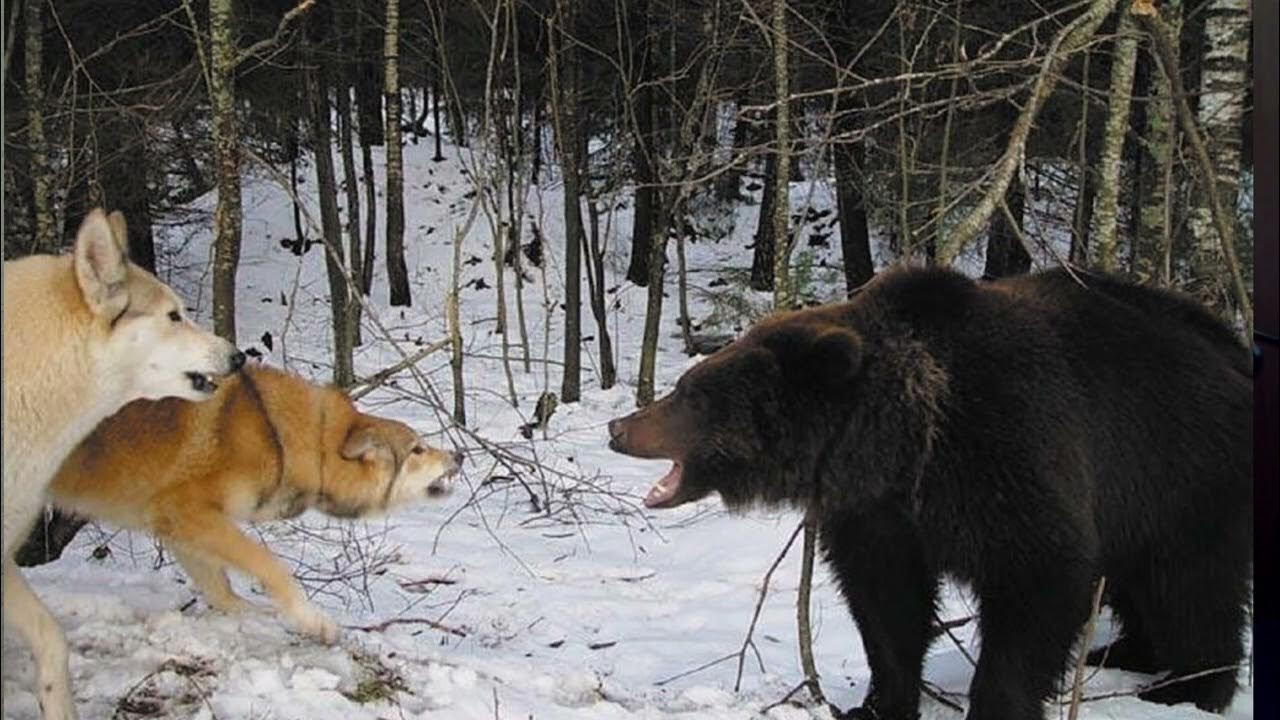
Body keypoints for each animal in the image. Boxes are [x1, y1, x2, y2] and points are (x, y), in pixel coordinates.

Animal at [609, 266, 1249, 712]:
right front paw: (878, 703)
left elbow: (1041, 578)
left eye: (691, 394)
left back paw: (1188, 686)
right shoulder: (880, 515)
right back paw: (1122, 650)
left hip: (1181, 472)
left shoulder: (1011, 455)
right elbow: (885, 603)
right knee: (1137, 581)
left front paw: (997, 704)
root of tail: (1236, 353)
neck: (905, 445)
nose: (619, 427)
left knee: (1192, 586)